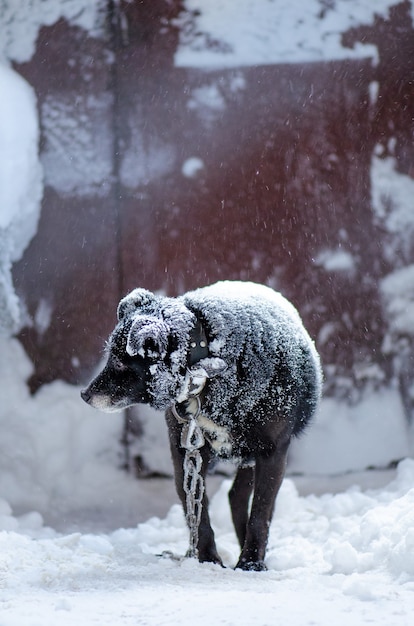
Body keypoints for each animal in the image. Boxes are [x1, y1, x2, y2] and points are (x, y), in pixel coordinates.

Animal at [80, 280, 320, 568]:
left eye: (119, 362)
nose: (84, 394)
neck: (206, 366)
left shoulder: (273, 452)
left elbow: (260, 514)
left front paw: (251, 563)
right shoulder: (186, 452)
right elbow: (197, 511)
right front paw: (208, 559)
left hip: (256, 455)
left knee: (247, 501)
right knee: (235, 496)